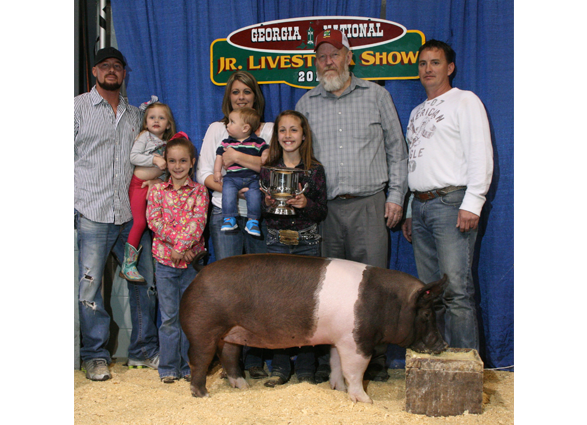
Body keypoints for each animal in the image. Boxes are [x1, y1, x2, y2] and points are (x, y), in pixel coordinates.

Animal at [181, 253, 448, 402]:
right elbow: (356, 370)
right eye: (427, 314)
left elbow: (336, 365)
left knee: (228, 355)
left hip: (231, 333)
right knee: (199, 359)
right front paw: (365, 400)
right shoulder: (357, 341)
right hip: (203, 327)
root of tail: (200, 272)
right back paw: (202, 394)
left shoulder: (339, 339)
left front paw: (338, 389)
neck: (387, 301)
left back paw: (243, 386)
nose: (443, 344)